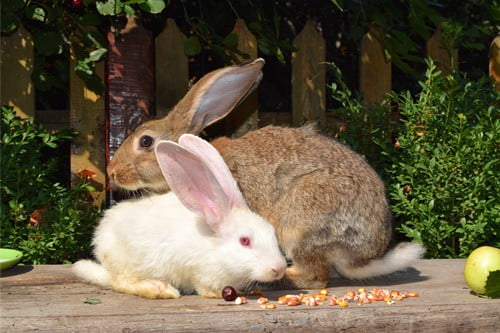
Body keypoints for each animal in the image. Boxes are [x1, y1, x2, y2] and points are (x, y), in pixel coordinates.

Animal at [72, 134, 288, 296]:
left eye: (272, 233)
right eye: (245, 241)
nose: (279, 268)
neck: (214, 247)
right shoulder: (198, 270)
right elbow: (203, 285)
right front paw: (215, 293)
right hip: (126, 263)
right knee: (121, 282)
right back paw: (159, 289)